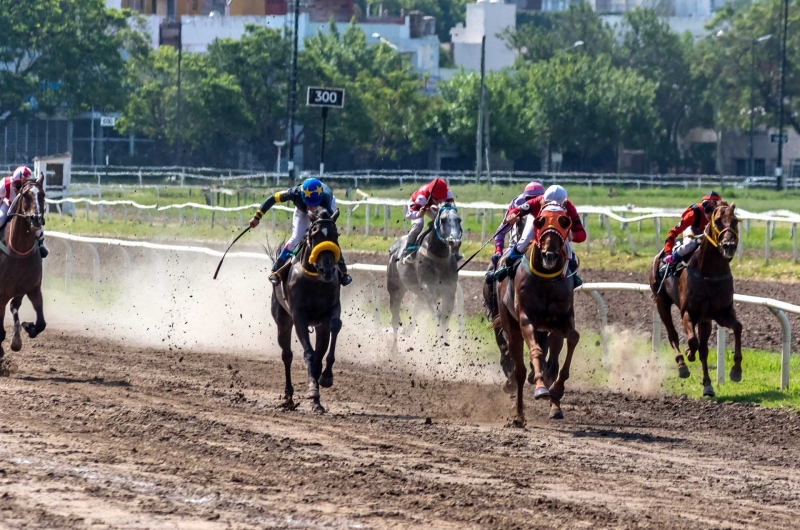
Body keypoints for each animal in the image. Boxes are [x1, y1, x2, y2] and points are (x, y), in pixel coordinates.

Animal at [272, 208, 340, 410]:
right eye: (315, 234)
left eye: (335, 235)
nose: (327, 270)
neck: (315, 279)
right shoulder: (298, 316)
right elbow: (309, 354)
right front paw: (312, 392)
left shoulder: (329, 313)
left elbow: (335, 325)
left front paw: (326, 378)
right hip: (282, 321)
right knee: (287, 355)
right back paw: (289, 397)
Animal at [388, 202, 462, 342]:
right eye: (443, 220)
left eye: (459, 220)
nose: (455, 242)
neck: (438, 256)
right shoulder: (427, 287)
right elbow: (437, 314)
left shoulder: (449, 289)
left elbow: (446, 318)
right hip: (395, 288)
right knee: (394, 319)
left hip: (419, 296)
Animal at [490, 208, 580, 422]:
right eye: (540, 222)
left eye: (565, 223)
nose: (550, 255)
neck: (546, 280)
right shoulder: (526, 318)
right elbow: (535, 351)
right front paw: (540, 387)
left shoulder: (562, 320)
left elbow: (572, 338)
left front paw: (556, 390)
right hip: (510, 323)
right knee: (519, 370)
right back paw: (519, 414)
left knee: (552, 364)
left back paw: (554, 406)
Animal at [648, 202, 740, 396]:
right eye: (718, 221)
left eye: (735, 221)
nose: (729, 246)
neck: (709, 273)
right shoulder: (688, 312)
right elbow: (692, 341)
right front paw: (689, 353)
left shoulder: (721, 313)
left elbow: (737, 328)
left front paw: (736, 371)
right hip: (661, 301)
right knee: (673, 335)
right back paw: (682, 365)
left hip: (705, 319)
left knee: (703, 349)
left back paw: (708, 385)